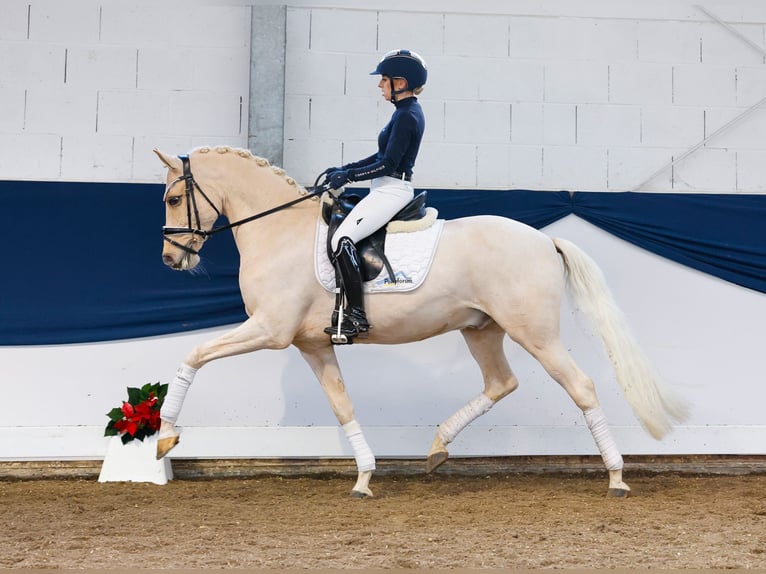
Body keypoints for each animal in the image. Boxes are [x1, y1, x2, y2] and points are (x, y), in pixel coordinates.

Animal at [154, 145, 688, 500]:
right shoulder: (314, 345)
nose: (169, 260)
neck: (279, 232)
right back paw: (436, 446)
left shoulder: (270, 330)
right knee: (501, 382)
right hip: (481, 329)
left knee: (580, 385)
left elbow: (192, 355)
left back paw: (616, 477)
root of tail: (542, 240)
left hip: (534, 332)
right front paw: (365, 476)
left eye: (174, 200)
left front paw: (165, 437)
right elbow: (342, 405)